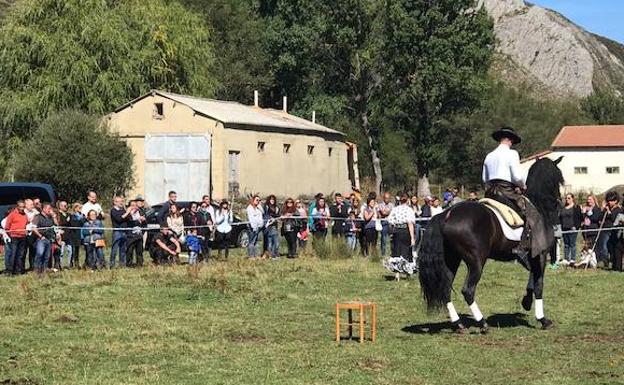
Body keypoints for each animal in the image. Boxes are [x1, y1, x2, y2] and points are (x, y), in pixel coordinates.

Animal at [416, 158, 564, 332]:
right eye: (559, 178)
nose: (560, 203)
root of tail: (446, 214)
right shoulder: (540, 254)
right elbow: (539, 284)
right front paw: (543, 319)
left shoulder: (534, 256)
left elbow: (533, 280)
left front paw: (526, 301)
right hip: (476, 262)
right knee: (468, 291)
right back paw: (482, 323)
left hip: (451, 260)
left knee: (445, 289)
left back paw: (459, 324)